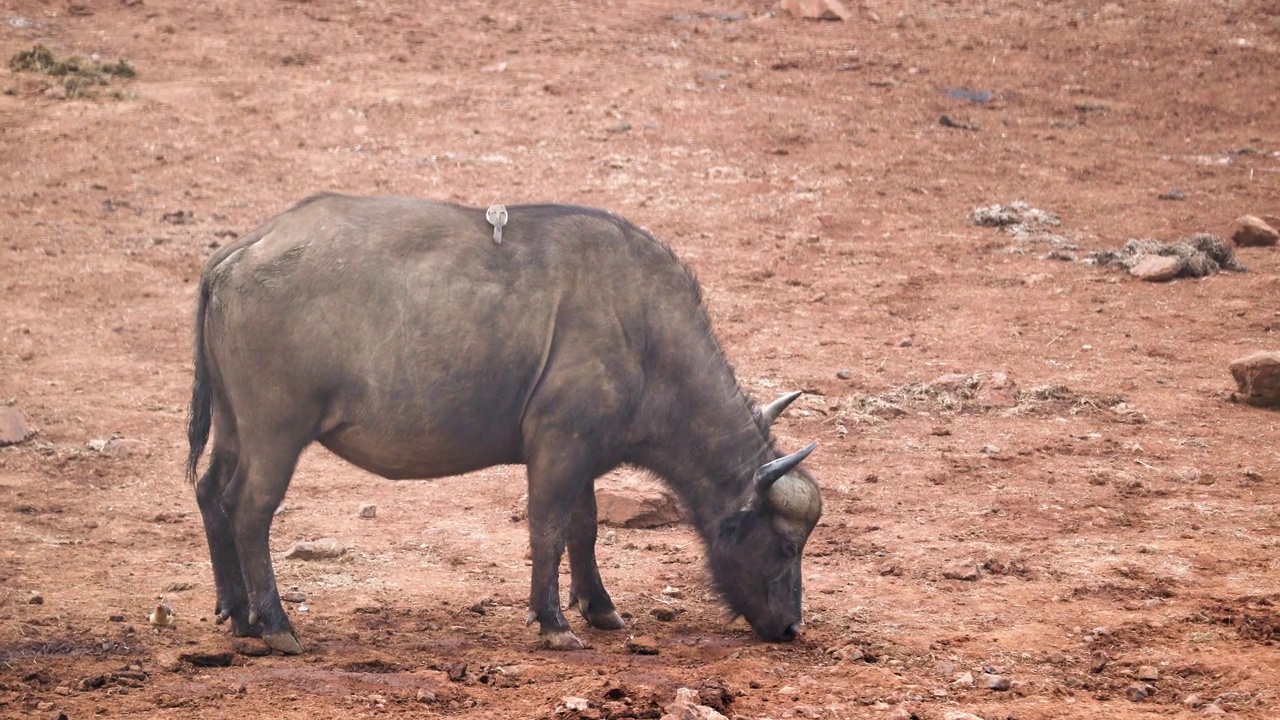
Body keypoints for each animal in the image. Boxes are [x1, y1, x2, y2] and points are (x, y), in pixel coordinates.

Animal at [186, 193, 824, 653]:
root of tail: (238, 252)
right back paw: (274, 624)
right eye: (786, 545)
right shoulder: (559, 446)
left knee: (211, 491)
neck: (643, 334)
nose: (792, 627)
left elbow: (584, 528)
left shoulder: (583, 455)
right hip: (276, 432)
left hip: (234, 424)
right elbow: (548, 527)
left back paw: (238, 613)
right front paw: (554, 622)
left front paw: (599, 608)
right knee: (250, 509)